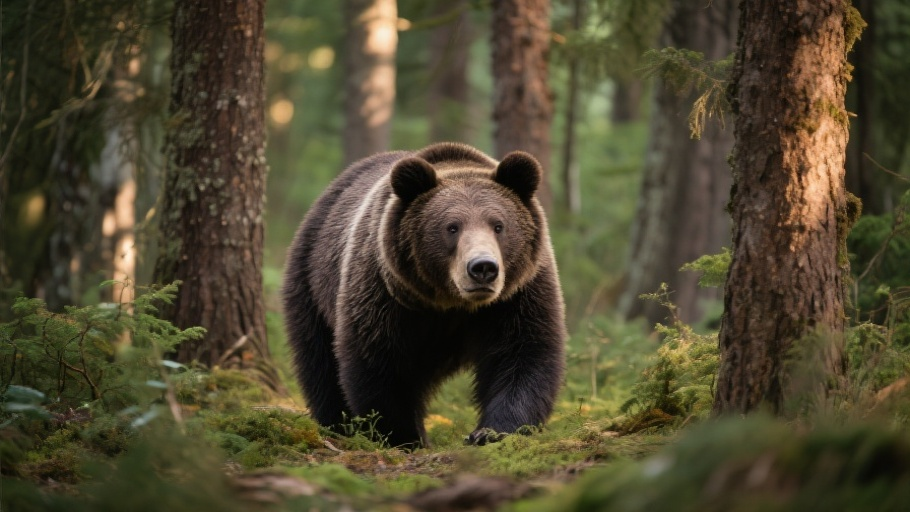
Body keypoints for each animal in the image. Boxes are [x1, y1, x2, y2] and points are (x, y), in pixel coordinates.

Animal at [282, 142, 566, 449]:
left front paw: (490, 432)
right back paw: (335, 424)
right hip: (311, 281)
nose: (483, 268)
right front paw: (404, 436)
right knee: (319, 362)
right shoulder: (383, 292)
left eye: (499, 225)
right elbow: (379, 363)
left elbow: (523, 353)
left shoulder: (517, 294)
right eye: (452, 226)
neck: (451, 303)